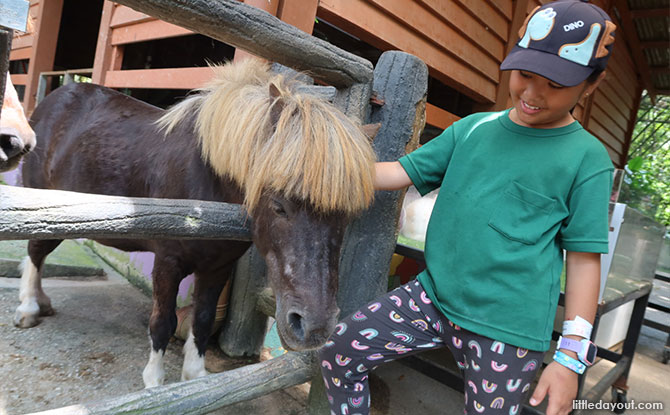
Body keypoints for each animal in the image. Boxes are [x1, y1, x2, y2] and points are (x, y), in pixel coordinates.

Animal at [14, 60, 378, 388]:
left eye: (349, 215)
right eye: (279, 205)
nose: (315, 327)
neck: (205, 179)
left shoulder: (218, 267)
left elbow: (201, 321)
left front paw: (194, 376)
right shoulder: (167, 262)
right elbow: (163, 321)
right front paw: (155, 383)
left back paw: (41, 303)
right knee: (35, 251)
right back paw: (29, 308)